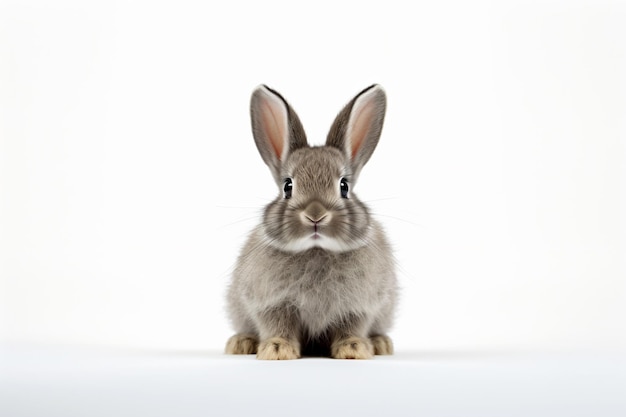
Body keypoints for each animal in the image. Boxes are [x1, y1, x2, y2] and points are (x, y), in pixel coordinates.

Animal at [224, 83, 394, 358]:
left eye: (344, 186)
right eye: (288, 186)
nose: (315, 215)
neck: (316, 249)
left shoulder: (359, 306)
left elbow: (351, 326)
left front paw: (354, 348)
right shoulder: (271, 303)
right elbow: (277, 325)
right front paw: (276, 349)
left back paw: (380, 343)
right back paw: (241, 342)